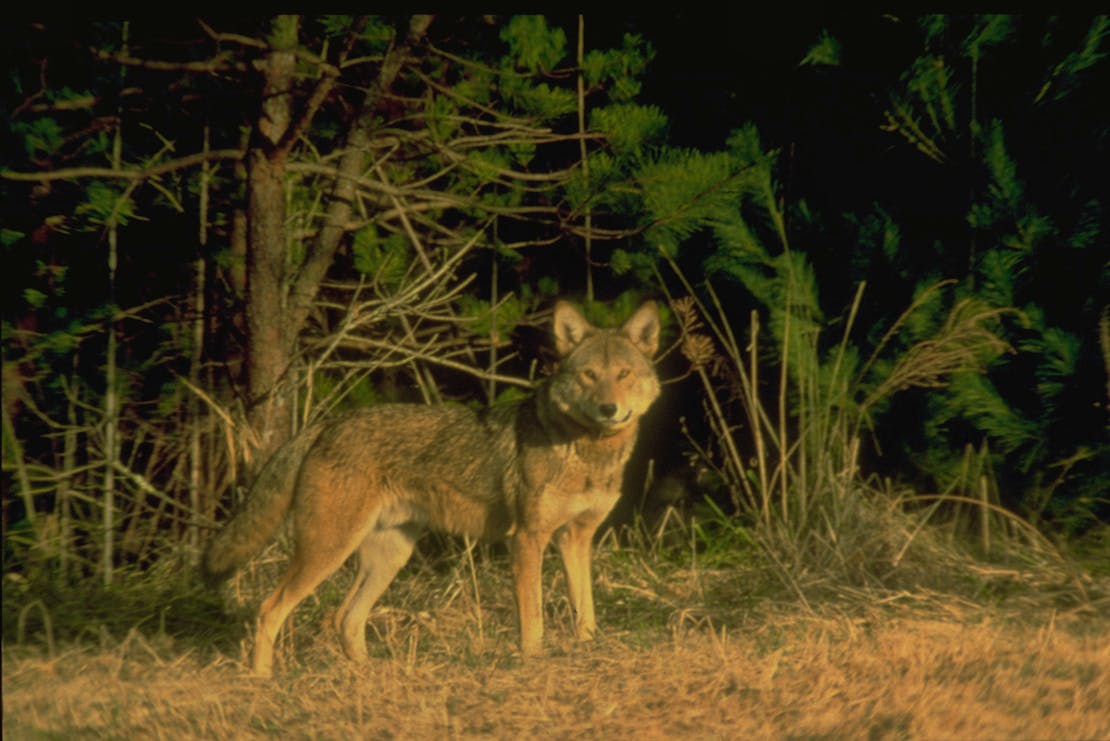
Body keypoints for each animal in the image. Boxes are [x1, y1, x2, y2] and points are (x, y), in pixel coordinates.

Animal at [204, 301, 657, 678]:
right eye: (589, 376)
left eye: (623, 375)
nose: (609, 409)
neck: (588, 453)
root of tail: (327, 423)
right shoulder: (528, 538)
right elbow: (533, 617)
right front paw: (534, 661)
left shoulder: (576, 538)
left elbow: (586, 609)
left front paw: (589, 651)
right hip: (328, 551)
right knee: (271, 610)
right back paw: (262, 680)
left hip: (388, 557)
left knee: (344, 618)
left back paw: (372, 674)